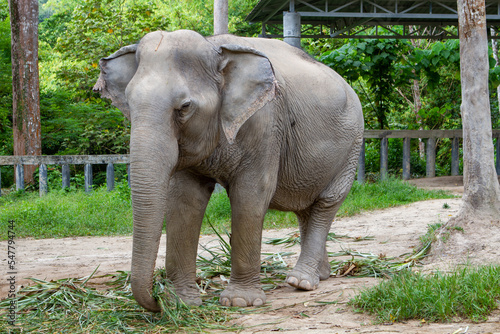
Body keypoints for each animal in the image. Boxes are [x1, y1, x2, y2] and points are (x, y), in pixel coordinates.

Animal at [94, 30, 366, 312]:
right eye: (129, 103)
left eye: (185, 106)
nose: (157, 301)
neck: (214, 46)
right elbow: (184, 200)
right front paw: (183, 303)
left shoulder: (266, 125)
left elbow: (251, 195)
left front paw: (240, 302)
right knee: (305, 209)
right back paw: (320, 275)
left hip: (352, 145)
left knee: (326, 203)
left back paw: (300, 282)